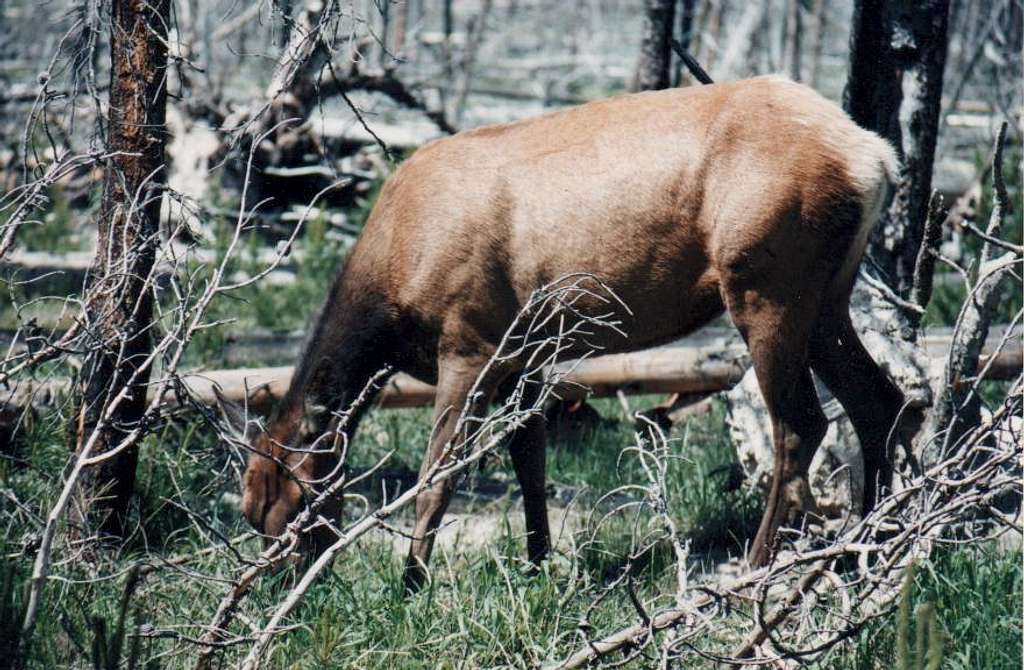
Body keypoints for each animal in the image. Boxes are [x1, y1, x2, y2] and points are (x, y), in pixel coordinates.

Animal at [220, 76, 909, 590]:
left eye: (285, 507)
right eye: (250, 513)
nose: (284, 588)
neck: (389, 301)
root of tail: (877, 156)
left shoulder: (470, 343)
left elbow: (437, 477)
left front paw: (412, 583)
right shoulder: (526, 359)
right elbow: (530, 461)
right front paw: (536, 564)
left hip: (767, 287)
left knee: (801, 423)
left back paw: (757, 571)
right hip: (827, 297)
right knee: (882, 401)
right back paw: (867, 550)